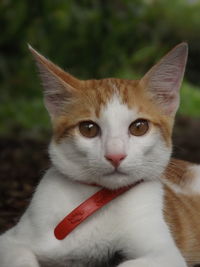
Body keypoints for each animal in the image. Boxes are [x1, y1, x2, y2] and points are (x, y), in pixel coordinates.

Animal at [0, 42, 199, 267]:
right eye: (88, 129)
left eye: (139, 127)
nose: (115, 156)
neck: (96, 197)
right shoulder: (10, 240)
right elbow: (21, 258)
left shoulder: (165, 254)